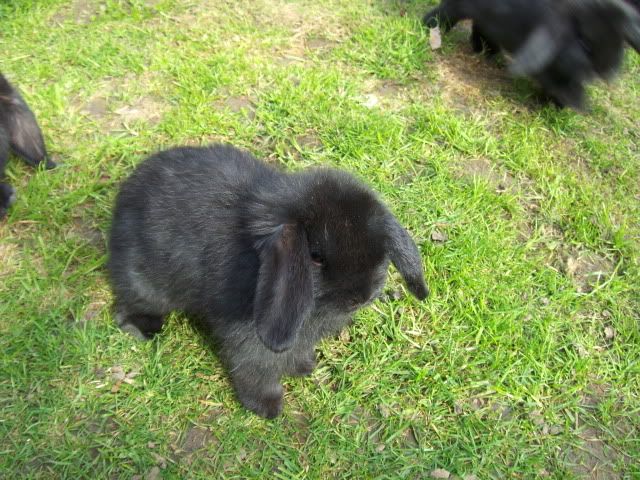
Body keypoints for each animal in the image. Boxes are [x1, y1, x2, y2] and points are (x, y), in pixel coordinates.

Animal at [107, 142, 430, 416]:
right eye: (316, 256)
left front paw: (303, 367)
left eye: (380, 248)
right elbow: (257, 369)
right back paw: (143, 329)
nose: (363, 296)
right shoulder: (249, 339)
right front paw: (267, 407)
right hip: (146, 285)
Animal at [422, 0, 640, 109]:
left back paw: (486, 53)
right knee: (447, 13)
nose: (612, 72)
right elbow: (560, 85)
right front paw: (572, 107)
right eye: (584, 42)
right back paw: (430, 26)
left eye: (619, 38)